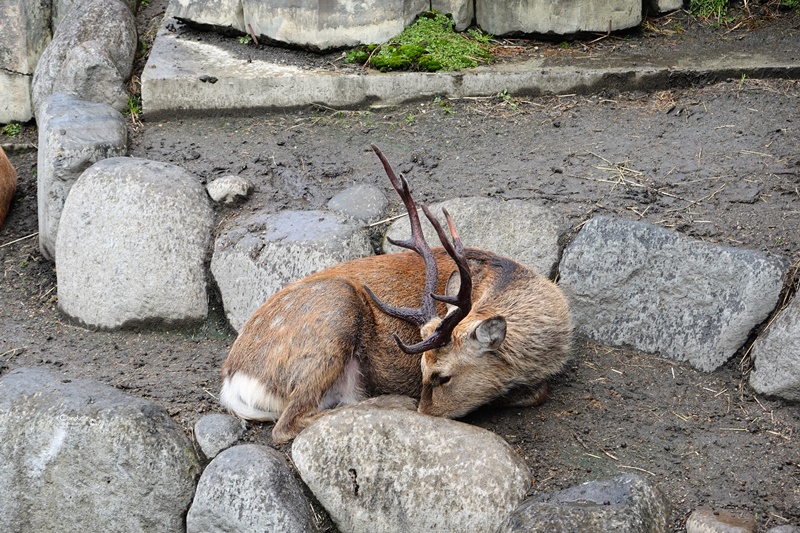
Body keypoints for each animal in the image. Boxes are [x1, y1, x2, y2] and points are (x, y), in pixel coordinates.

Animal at [219, 143, 572, 442]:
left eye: (443, 377)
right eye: (422, 370)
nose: (425, 414)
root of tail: (233, 380)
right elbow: (536, 392)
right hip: (335, 310)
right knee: (287, 423)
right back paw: (390, 402)